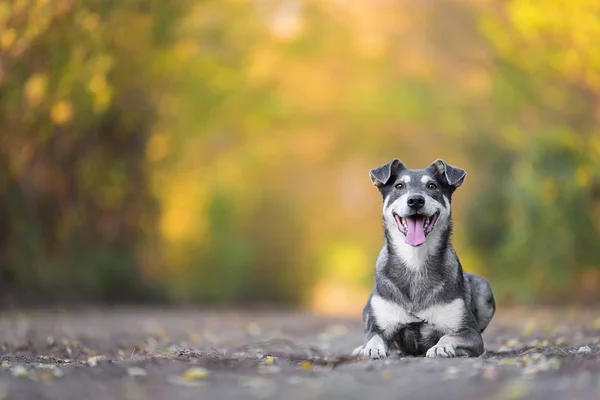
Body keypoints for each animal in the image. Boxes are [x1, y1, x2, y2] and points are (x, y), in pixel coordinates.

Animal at [354, 159, 494, 360]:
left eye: (432, 186)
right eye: (399, 186)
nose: (415, 200)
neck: (415, 260)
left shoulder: (470, 333)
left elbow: (448, 336)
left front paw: (440, 347)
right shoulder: (377, 327)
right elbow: (373, 337)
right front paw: (371, 349)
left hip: (484, 289)